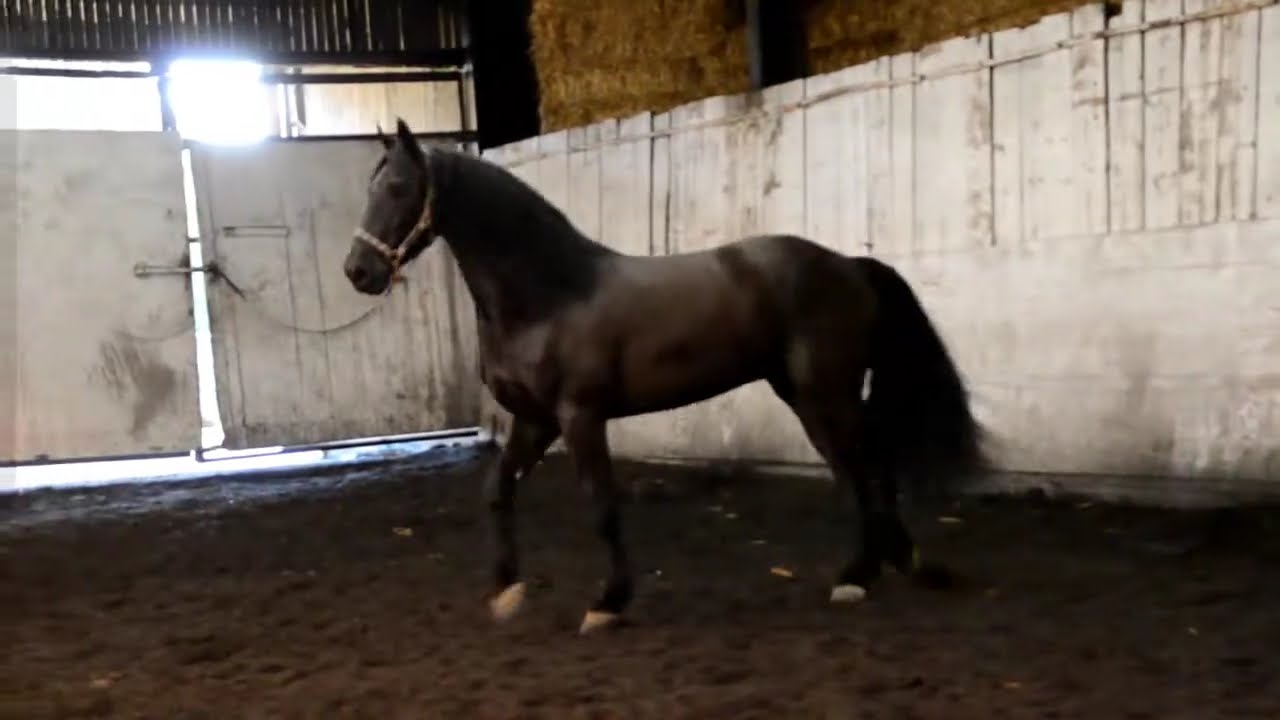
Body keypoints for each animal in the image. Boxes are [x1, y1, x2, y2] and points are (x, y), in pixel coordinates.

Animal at [343, 118, 989, 635]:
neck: (550, 295)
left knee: (866, 472)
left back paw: (865, 574)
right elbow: (497, 491)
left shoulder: (581, 418)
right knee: (863, 472)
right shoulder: (534, 420)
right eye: (370, 187)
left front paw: (608, 603)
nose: (359, 271)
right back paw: (889, 565)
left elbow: (602, 508)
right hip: (810, 397)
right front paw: (507, 592)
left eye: (399, 188)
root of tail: (849, 265)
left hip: (824, 395)